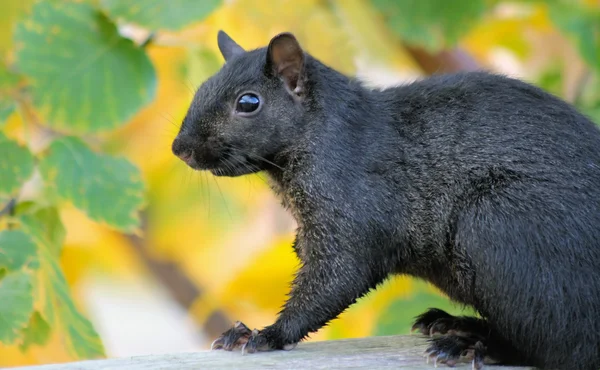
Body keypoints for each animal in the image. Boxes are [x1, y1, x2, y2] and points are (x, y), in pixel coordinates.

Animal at [170, 31, 600, 370]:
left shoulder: (354, 211)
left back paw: (474, 344)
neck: (321, 135)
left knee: (559, 346)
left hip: (501, 228)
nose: (180, 149)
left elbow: (336, 279)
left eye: (248, 103)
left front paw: (268, 334)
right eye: (203, 87)